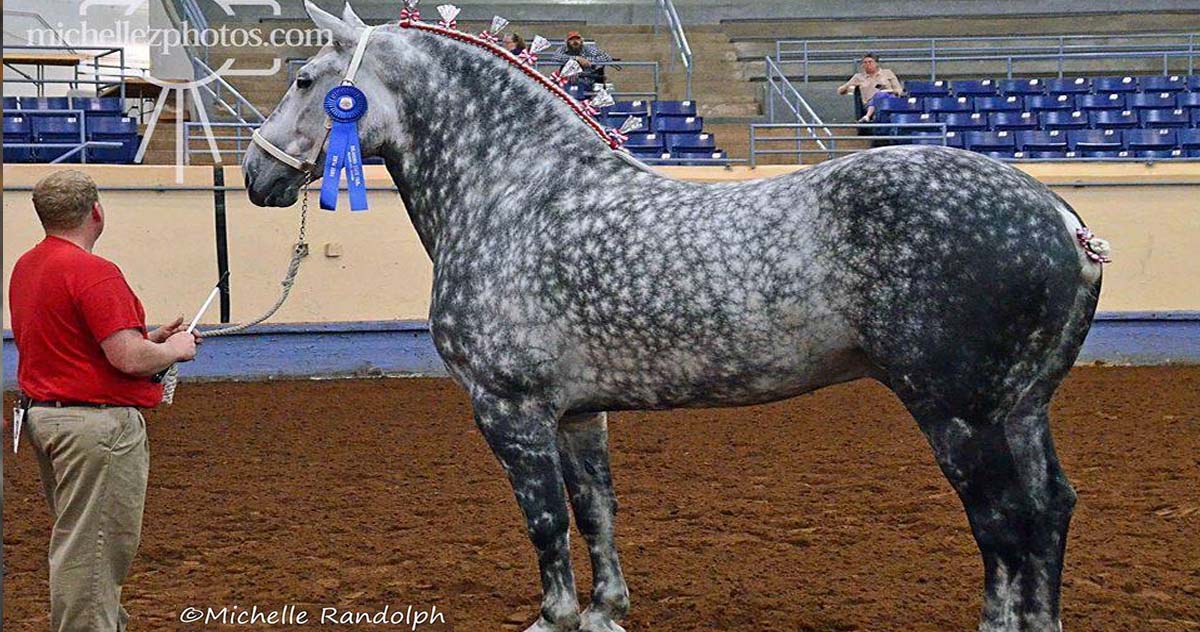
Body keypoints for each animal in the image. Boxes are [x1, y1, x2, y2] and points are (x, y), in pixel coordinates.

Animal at [241, 3, 1104, 628]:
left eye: (308, 80)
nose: (254, 174)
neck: (517, 191)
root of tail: (1063, 219)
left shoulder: (508, 408)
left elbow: (544, 520)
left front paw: (556, 617)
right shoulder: (576, 412)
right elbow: (595, 512)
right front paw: (605, 611)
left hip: (957, 414)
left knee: (1004, 527)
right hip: (1020, 409)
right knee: (1049, 513)